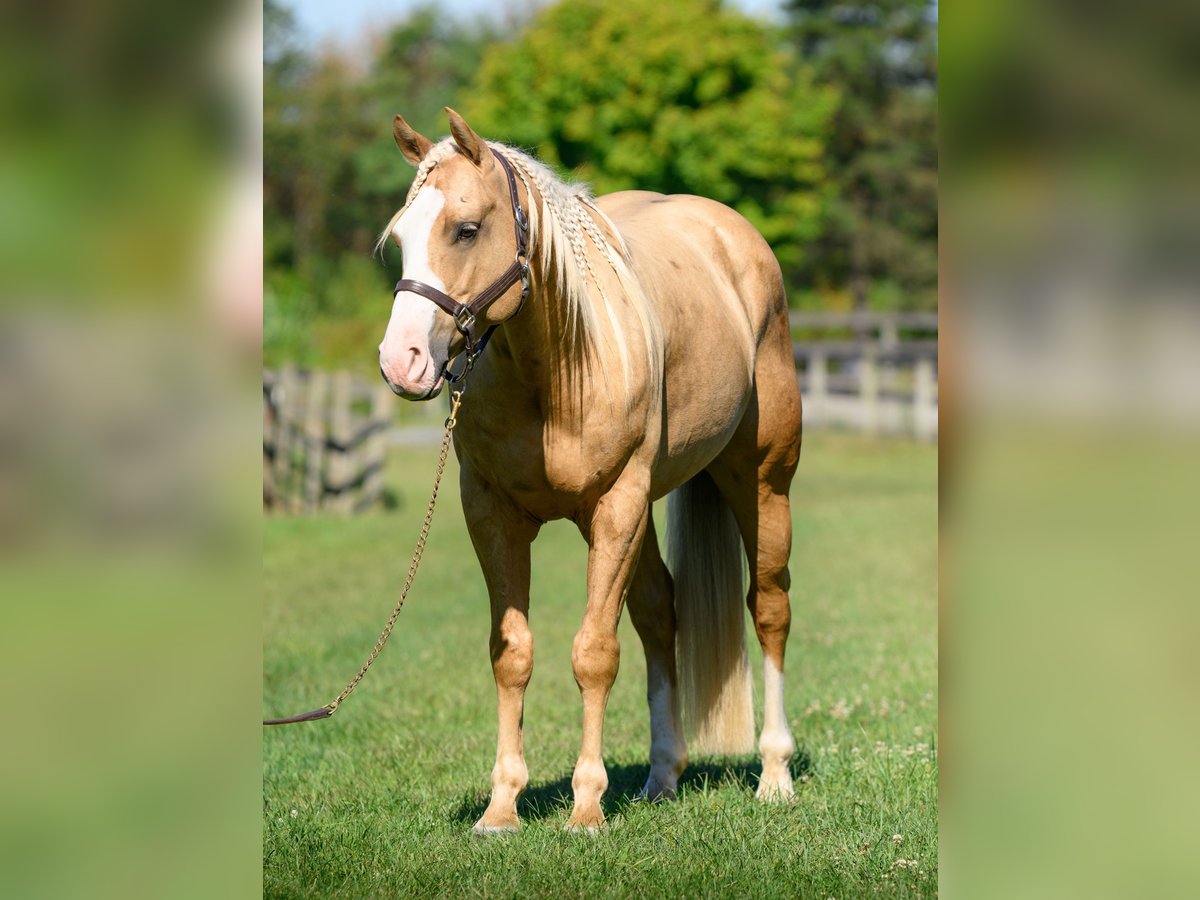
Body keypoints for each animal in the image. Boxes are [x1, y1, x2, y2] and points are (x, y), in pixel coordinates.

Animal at [377, 108, 802, 833]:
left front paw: (585, 808)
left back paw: (774, 775)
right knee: (660, 612)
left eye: (466, 229)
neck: (553, 372)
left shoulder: (615, 506)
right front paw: (502, 807)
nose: (400, 361)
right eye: (400, 239)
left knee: (769, 609)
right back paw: (662, 777)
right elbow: (513, 653)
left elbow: (594, 653)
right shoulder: (491, 512)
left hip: (761, 484)